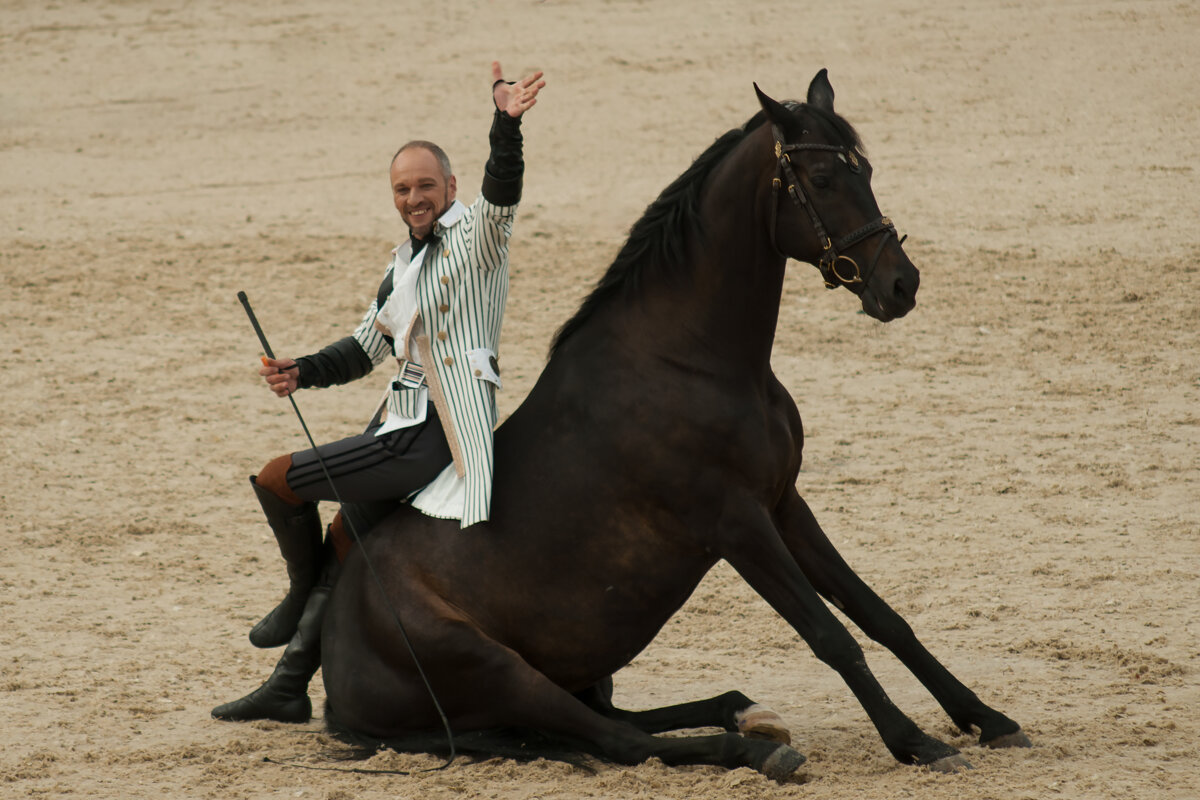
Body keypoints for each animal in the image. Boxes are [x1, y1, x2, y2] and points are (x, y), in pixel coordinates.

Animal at [321, 70, 1032, 782]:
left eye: (868, 171)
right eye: (824, 179)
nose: (901, 284)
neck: (690, 360)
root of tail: (334, 672)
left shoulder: (783, 504)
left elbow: (881, 616)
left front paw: (987, 720)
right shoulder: (737, 523)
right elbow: (831, 634)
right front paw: (916, 742)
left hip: (574, 676)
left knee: (619, 724)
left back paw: (747, 712)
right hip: (499, 669)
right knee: (619, 743)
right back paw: (758, 749)